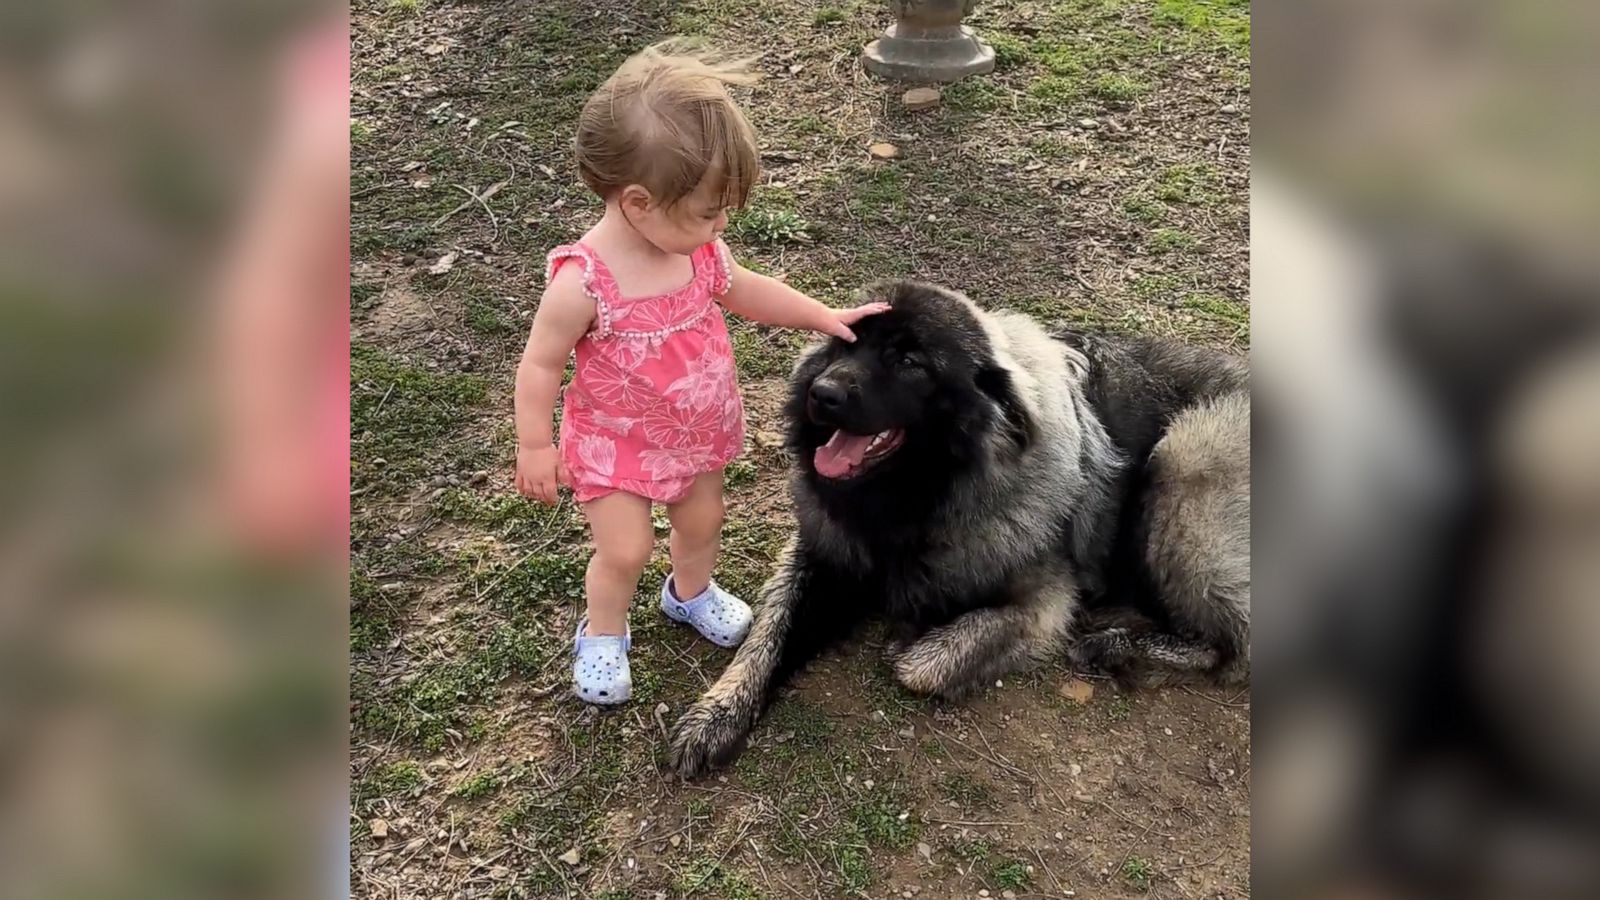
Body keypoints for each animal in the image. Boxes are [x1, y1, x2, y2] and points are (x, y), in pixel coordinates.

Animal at [668, 280, 1254, 771]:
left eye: (909, 361)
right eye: (843, 346)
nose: (822, 394)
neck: (918, 498)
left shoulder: (1043, 604)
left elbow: (919, 667)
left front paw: (911, 644)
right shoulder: (820, 555)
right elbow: (768, 637)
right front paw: (717, 715)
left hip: (1184, 457)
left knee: (1233, 650)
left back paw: (1119, 647)